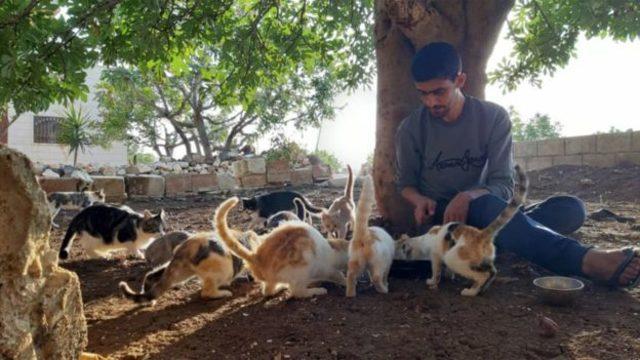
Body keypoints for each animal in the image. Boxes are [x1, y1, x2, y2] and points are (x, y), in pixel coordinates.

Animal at [117, 229, 258, 302]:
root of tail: (185, 250)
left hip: (181, 273)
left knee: (151, 275)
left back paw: (149, 298)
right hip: (224, 268)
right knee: (206, 293)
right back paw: (224, 292)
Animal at [214, 197, 350, 298]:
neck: (333, 248)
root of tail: (256, 256)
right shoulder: (327, 269)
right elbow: (338, 276)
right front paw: (346, 281)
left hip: (272, 280)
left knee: (267, 292)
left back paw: (280, 287)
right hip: (302, 267)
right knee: (297, 291)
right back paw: (316, 291)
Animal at [396, 165, 528, 296]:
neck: (423, 239)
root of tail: (481, 234)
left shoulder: (436, 256)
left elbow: (436, 271)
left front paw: (432, 281)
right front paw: (450, 275)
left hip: (454, 258)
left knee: (482, 276)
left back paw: (471, 291)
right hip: (484, 260)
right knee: (492, 272)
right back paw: (482, 289)